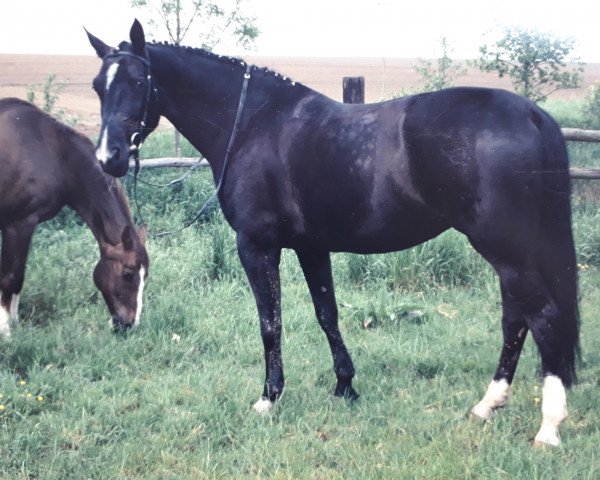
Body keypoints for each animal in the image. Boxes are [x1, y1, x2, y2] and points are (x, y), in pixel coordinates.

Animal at [0, 97, 149, 338]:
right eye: (127, 274)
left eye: (146, 276)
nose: (129, 324)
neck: (53, 153)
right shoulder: (18, 224)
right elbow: (11, 278)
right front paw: (6, 333)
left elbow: (18, 278)